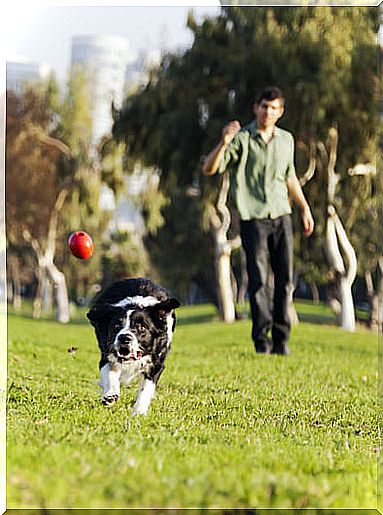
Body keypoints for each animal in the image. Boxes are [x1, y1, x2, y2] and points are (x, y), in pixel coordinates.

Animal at [88, 278, 181, 416]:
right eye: (116, 326)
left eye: (141, 327)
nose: (124, 338)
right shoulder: (107, 354)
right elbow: (109, 373)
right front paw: (110, 395)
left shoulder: (156, 363)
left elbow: (145, 388)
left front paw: (139, 412)